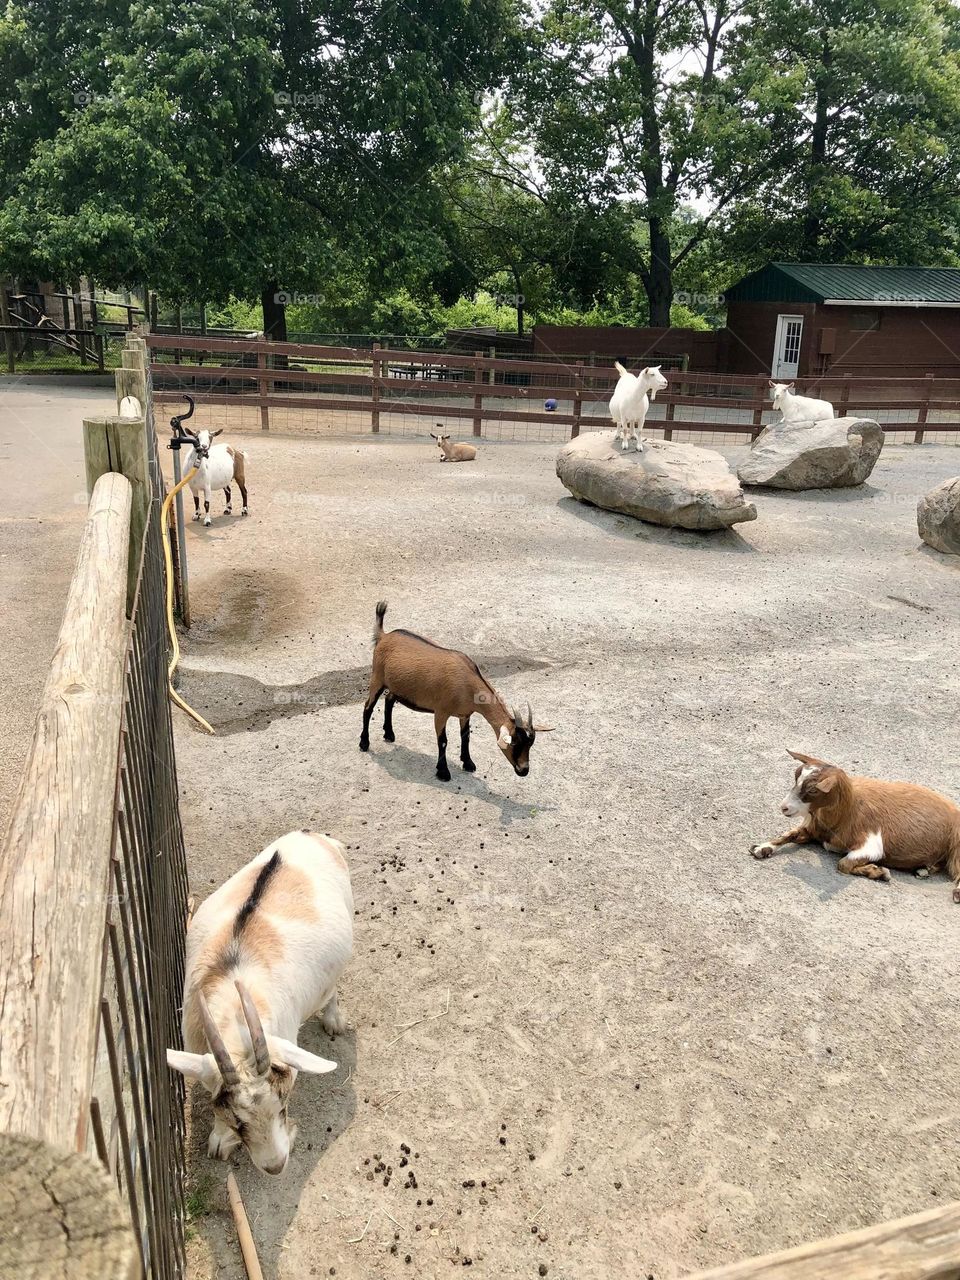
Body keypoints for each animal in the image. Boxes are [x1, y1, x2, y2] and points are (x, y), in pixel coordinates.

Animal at [167, 829, 353, 1174]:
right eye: (237, 1122)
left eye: (283, 1106)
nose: (275, 1166)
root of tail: (310, 835)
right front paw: (220, 1142)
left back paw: (333, 1021)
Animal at [359, 601, 553, 781]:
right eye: (514, 744)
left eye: (530, 744)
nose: (524, 770)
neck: (468, 683)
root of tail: (384, 636)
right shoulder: (441, 712)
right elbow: (443, 741)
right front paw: (443, 772)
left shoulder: (465, 714)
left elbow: (465, 737)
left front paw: (468, 763)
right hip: (377, 678)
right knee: (368, 707)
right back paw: (364, 743)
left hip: (397, 685)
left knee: (389, 700)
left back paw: (389, 734)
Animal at [751, 749, 960, 902]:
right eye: (796, 778)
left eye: (813, 790)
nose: (784, 807)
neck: (845, 814)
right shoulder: (813, 828)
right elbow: (789, 834)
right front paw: (762, 848)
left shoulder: (871, 841)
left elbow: (843, 864)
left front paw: (879, 872)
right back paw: (923, 870)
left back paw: (956, 892)